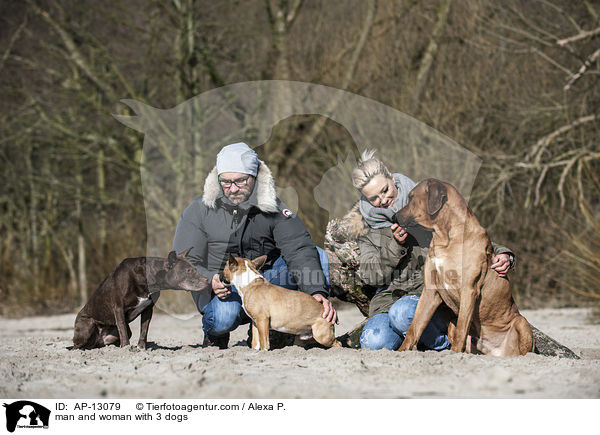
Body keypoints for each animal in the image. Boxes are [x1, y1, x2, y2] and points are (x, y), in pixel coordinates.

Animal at [73, 249, 209, 350]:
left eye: (195, 269)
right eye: (188, 271)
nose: (207, 280)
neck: (147, 277)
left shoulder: (148, 309)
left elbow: (144, 330)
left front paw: (141, 348)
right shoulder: (118, 307)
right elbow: (122, 329)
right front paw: (126, 348)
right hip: (87, 325)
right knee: (77, 346)